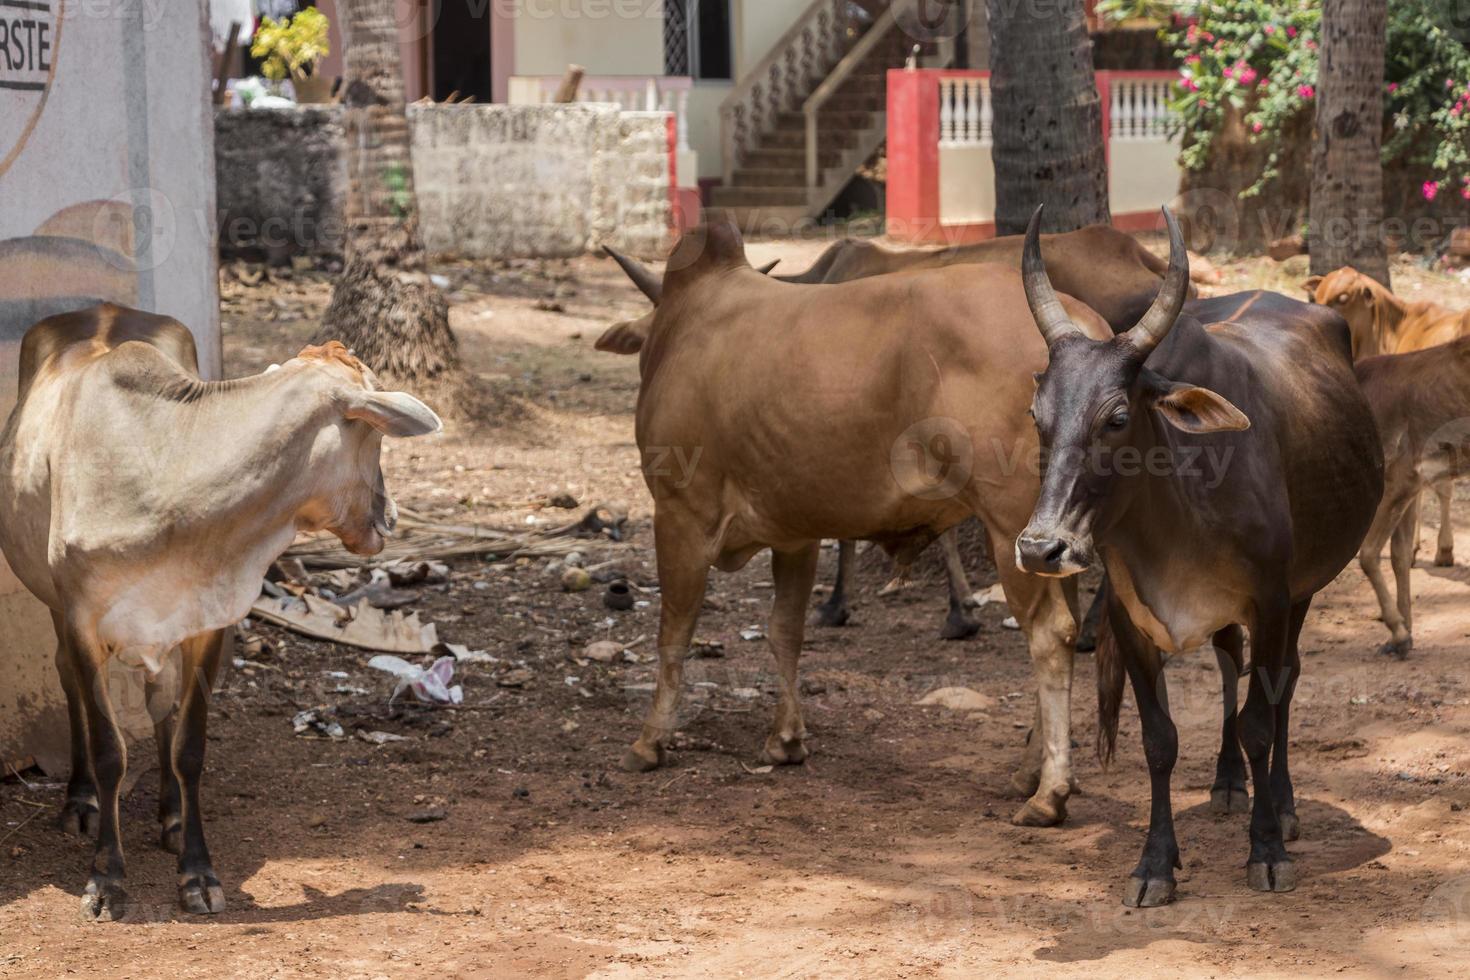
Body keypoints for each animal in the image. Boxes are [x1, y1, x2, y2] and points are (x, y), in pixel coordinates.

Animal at [0, 307, 441, 922]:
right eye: (374, 432)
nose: (391, 515)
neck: (168, 478)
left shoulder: (206, 622)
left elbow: (188, 746)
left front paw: (197, 873)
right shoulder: (83, 619)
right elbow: (112, 750)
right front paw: (106, 879)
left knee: (160, 704)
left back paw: (170, 814)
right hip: (53, 605)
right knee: (71, 685)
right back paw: (82, 800)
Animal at [596, 214, 1123, 828]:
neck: (683, 327)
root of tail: (1082, 329)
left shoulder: (680, 514)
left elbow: (673, 634)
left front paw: (649, 742)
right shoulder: (795, 533)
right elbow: (785, 631)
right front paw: (785, 739)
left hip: (1014, 530)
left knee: (1050, 633)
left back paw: (1048, 790)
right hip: (1058, 539)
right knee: (1068, 623)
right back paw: (1029, 772)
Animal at [1017, 207, 1381, 905]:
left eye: (1117, 417)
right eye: (1037, 414)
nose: (1042, 547)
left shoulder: (1271, 598)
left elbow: (1261, 720)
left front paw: (1266, 851)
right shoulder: (1130, 618)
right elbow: (1160, 740)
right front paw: (1155, 864)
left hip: (1304, 590)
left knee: (1283, 683)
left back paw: (1282, 804)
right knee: (1229, 665)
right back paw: (1228, 781)